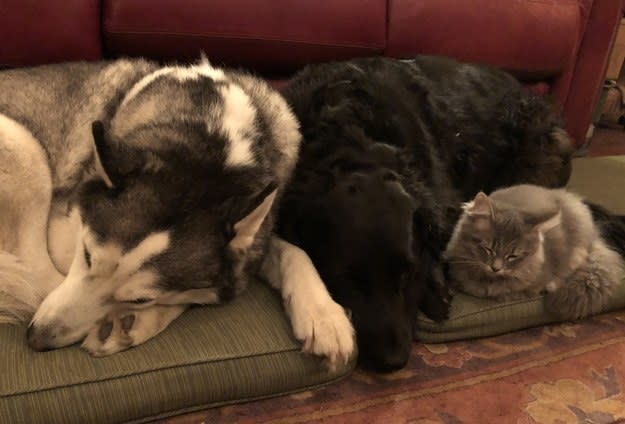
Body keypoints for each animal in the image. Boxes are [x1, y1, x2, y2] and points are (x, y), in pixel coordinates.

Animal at [0, 58, 352, 366]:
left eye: (140, 298)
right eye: (86, 255)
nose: (37, 338)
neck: (212, 143)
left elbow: (289, 251)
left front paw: (323, 314)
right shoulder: (64, 235)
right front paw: (140, 320)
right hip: (23, 148)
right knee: (33, 285)